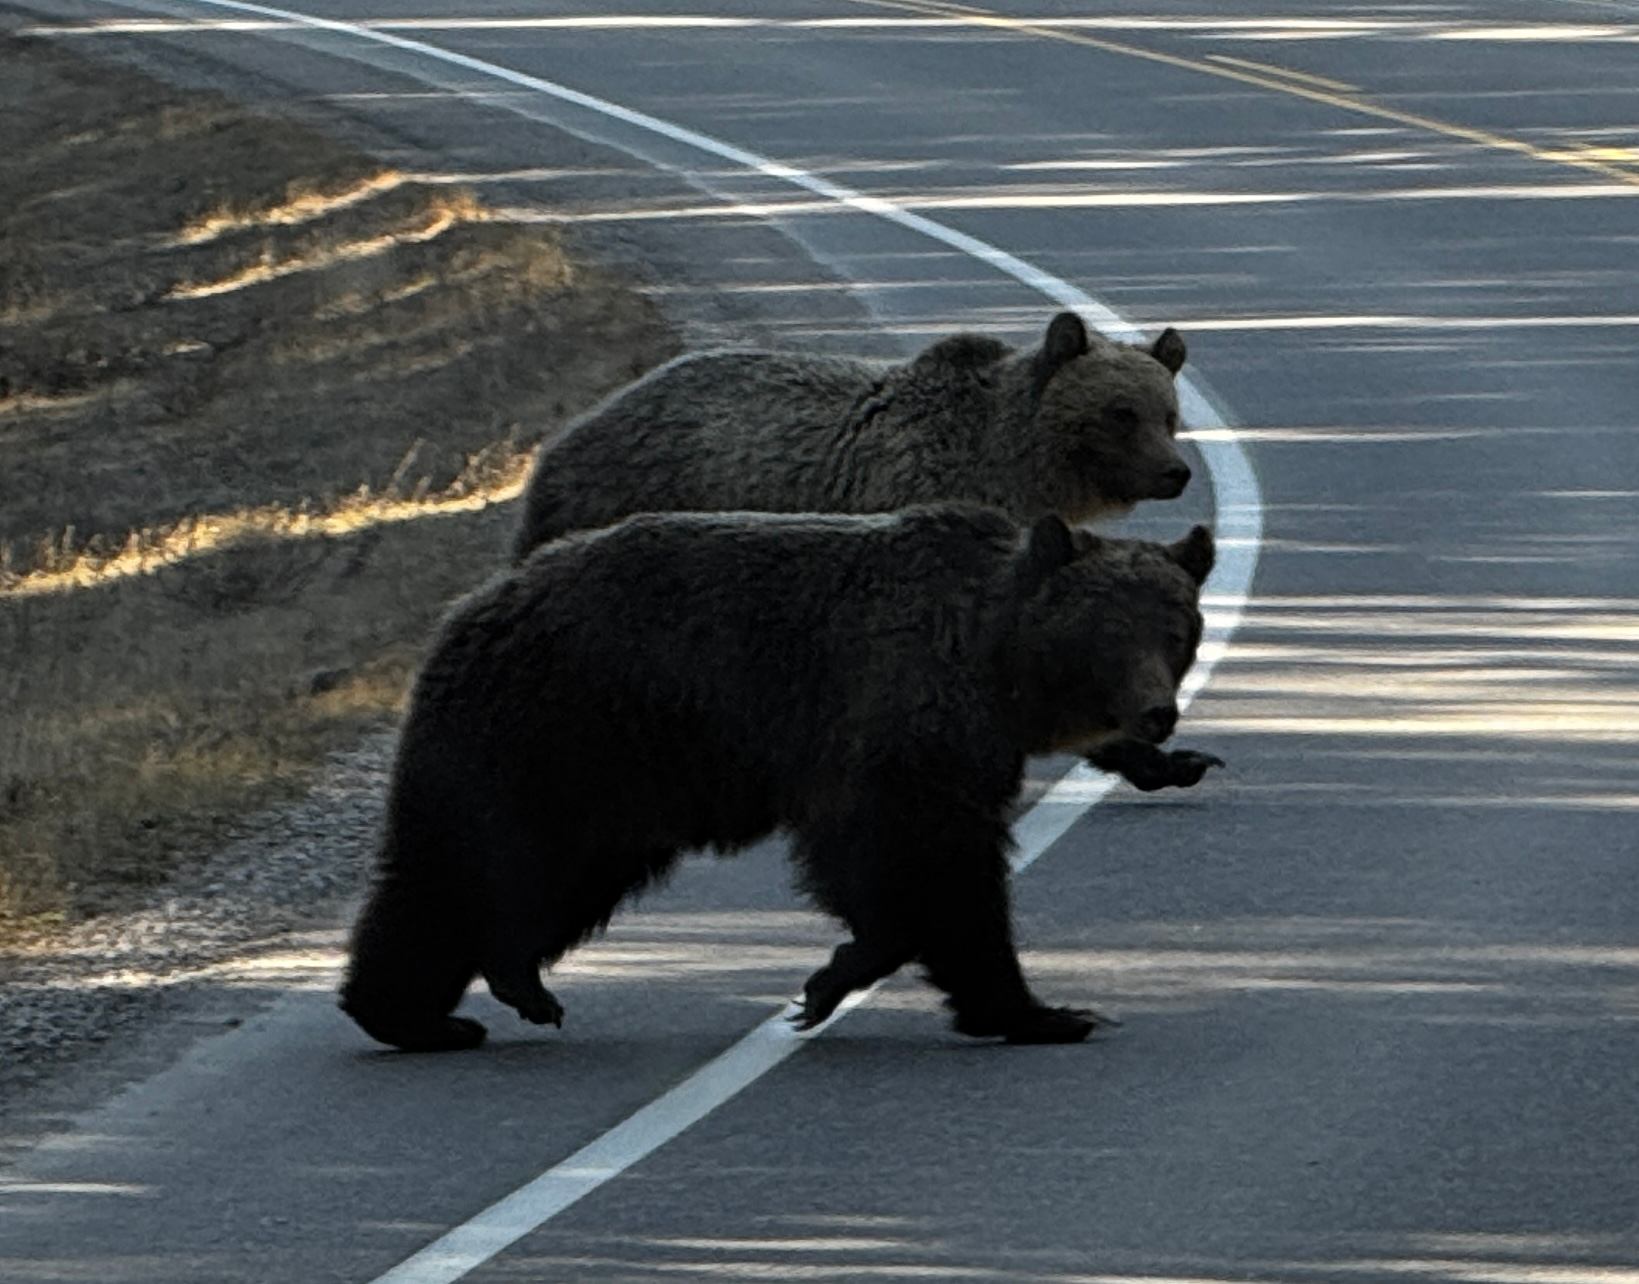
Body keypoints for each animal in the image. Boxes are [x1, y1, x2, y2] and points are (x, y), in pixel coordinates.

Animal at [338, 504, 1214, 1053]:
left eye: (1175, 631)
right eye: (1108, 632)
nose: (1155, 714)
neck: (998, 666)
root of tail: (470, 604)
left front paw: (833, 975)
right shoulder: (898, 724)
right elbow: (929, 868)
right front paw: (1040, 1010)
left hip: (609, 781)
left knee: (554, 878)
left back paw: (492, 985)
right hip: (552, 734)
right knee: (462, 868)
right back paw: (414, 1014)